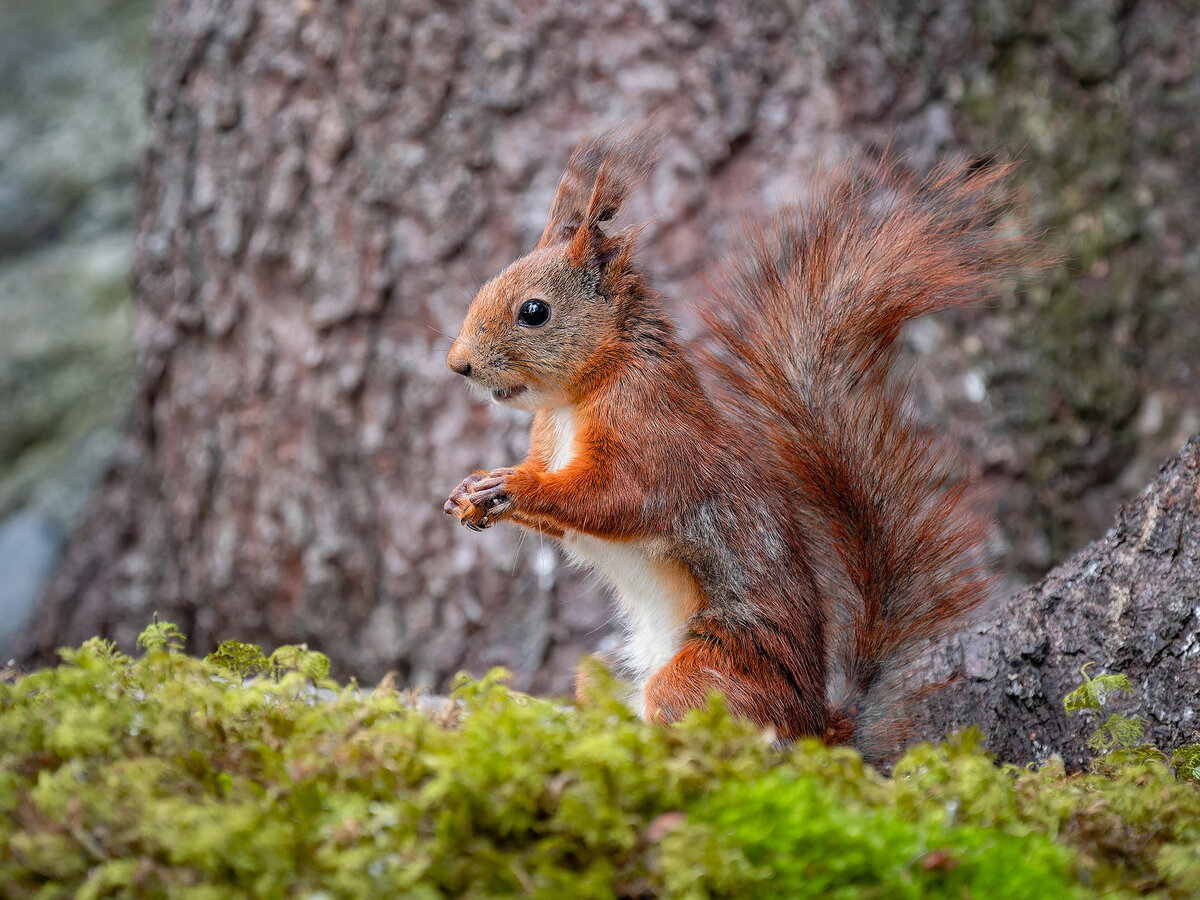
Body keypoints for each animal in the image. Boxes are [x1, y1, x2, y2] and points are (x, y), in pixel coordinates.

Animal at [443, 124, 1031, 761]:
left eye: (534, 311)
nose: (458, 366)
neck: (574, 397)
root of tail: (816, 726)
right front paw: (470, 491)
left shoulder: (650, 433)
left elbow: (614, 498)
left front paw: (513, 485)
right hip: (608, 671)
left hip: (708, 676)